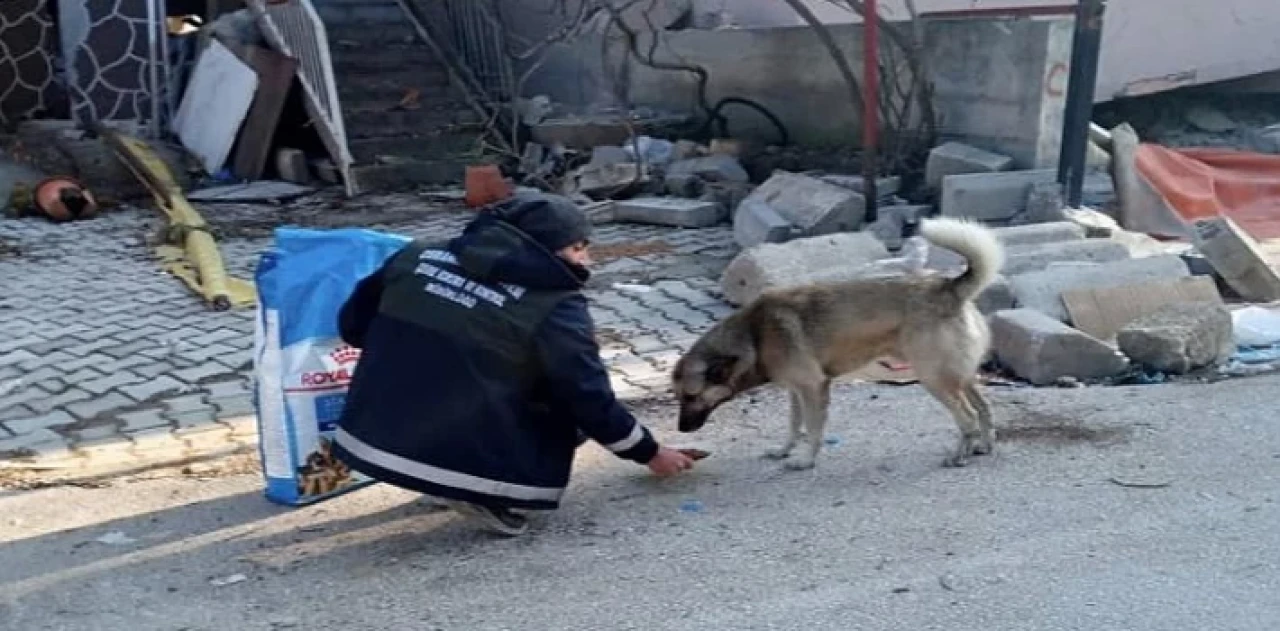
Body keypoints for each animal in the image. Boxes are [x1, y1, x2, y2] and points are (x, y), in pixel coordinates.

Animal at [675, 216, 1003, 468]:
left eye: (691, 396)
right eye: (679, 397)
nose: (680, 429)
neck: (754, 335)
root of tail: (949, 287)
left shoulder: (812, 388)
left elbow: (813, 428)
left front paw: (806, 460)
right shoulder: (796, 391)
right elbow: (794, 425)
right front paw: (784, 451)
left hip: (934, 378)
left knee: (967, 417)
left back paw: (959, 456)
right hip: (957, 376)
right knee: (983, 408)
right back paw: (984, 445)